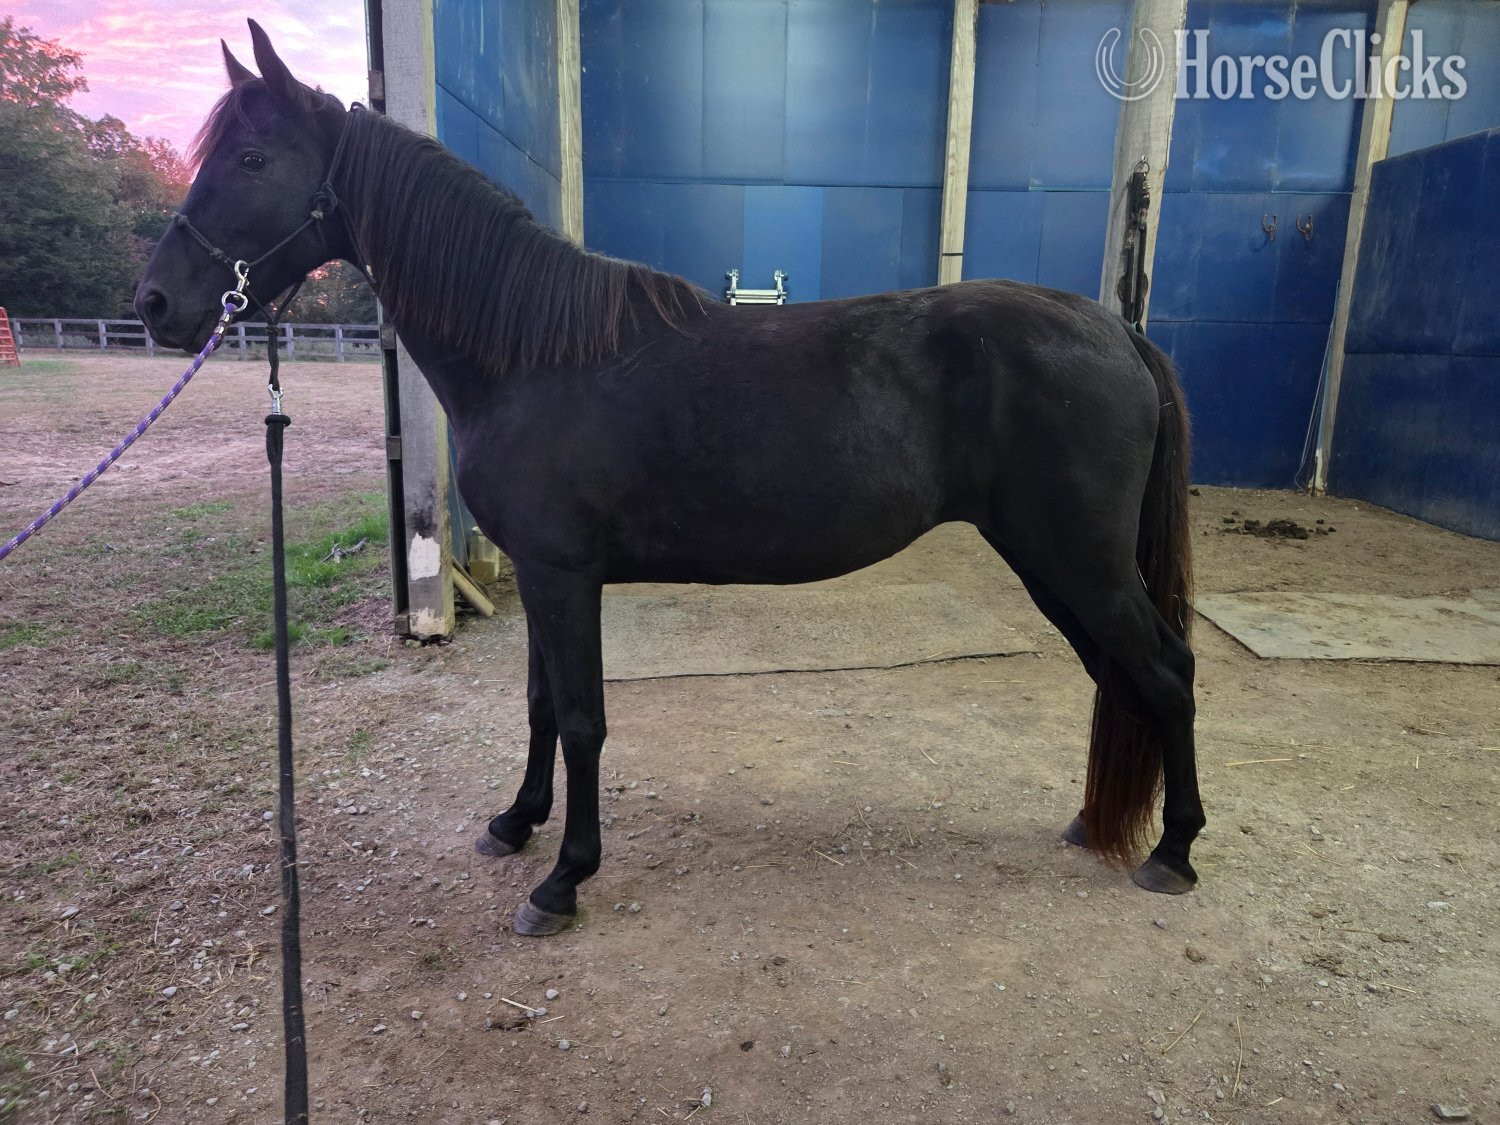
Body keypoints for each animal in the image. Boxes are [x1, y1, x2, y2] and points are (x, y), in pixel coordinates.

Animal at [135, 22, 1204, 936]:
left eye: (253, 159)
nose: (155, 303)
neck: (530, 356)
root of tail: (1118, 331)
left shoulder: (565, 577)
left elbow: (581, 719)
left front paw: (564, 879)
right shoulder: (543, 575)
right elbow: (540, 707)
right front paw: (515, 822)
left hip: (1078, 562)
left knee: (1166, 672)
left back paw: (1177, 851)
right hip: (1055, 565)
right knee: (1122, 674)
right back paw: (1098, 824)